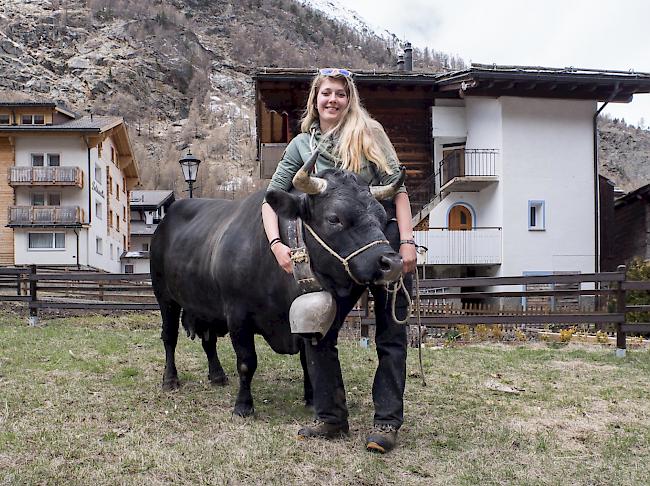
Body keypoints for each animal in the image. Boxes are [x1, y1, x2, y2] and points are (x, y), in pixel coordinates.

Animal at [151, 159, 402, 418]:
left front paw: (311, 398)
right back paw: (170, 379)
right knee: (169, 337)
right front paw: (243, 406)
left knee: (208, 339)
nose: (392, 262)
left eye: (383, 217)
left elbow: (307, 361)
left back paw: (217, 375)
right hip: (165, 297)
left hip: (205, 306)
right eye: (334, 218)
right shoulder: (237, 315)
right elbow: (246, 361)